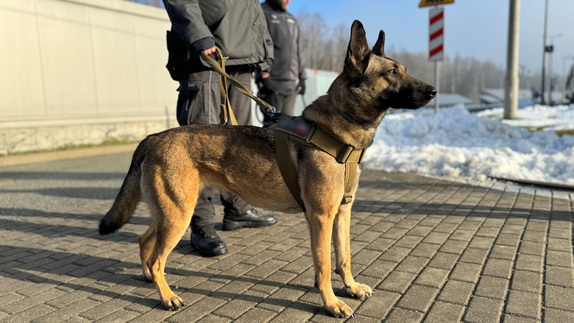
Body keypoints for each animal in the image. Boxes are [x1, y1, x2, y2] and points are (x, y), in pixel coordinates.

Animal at [101, 20, 438, 318]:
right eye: (391, 72)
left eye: (403, 70)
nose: (434, 91)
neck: (338, 130)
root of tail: (154, 137)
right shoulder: (321, 218)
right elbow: (324, 267)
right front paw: (331, 303)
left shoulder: (342, 213)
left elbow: (344, 258)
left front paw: (351, 287)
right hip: (179, 214)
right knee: (158, 258)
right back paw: (167, 296)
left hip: (170, 212)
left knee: (145, 242)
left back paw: (148, 278)